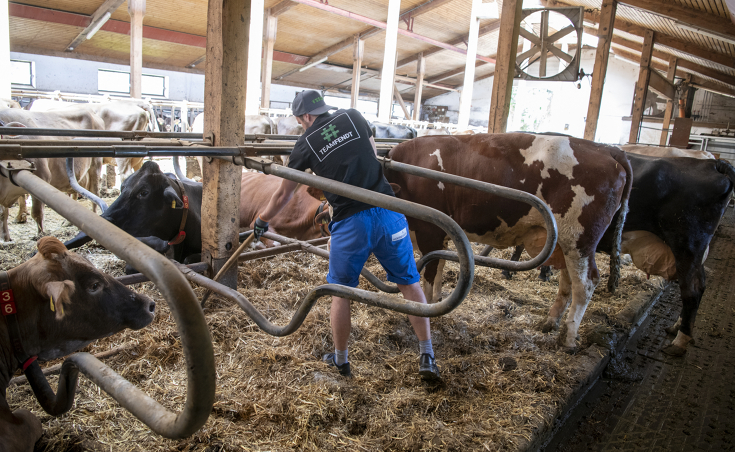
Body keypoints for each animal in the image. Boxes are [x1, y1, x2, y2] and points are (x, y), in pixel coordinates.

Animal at [0, 109, 107, 242]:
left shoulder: (41, 177)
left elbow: (37, 213)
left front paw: (40, 235)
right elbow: (3, 214)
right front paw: (5, 237)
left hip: (95, 166)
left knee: (94, 193)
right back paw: (68, 222)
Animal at [388, 132, 636, 348]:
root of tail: (608, 149)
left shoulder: (430, 232)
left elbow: (430, 277)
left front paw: (426, 313)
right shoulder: (441, 235)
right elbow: (438, 270)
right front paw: (437, 305)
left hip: (580, 240)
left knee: (585, 283)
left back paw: (569, 337)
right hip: (565, 243)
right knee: (568, 282)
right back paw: (550, 323)